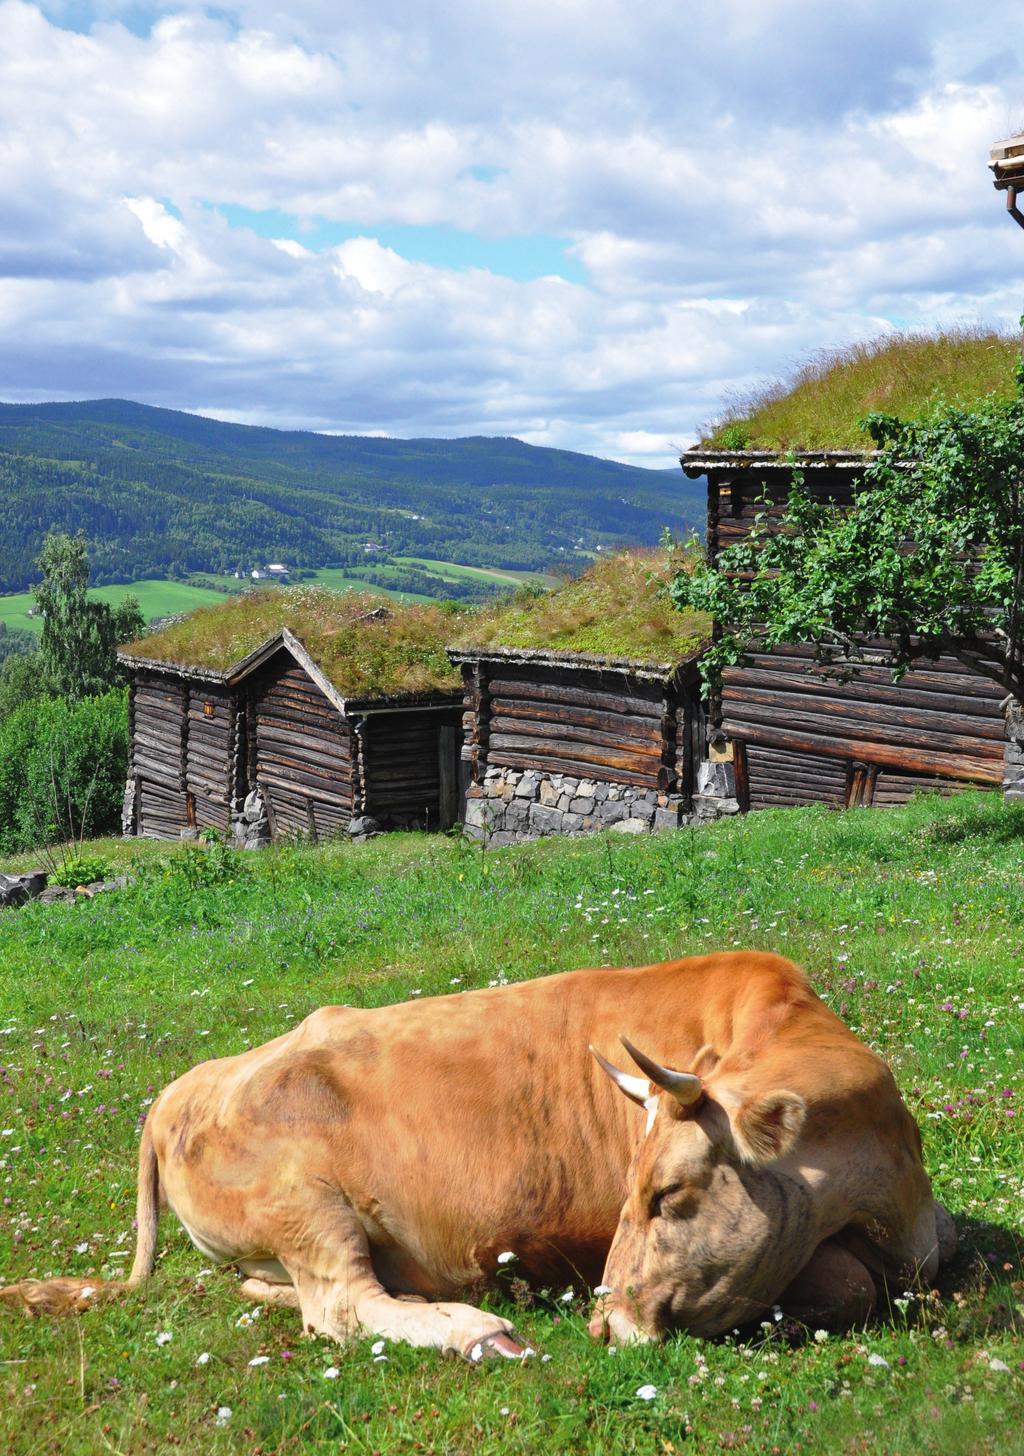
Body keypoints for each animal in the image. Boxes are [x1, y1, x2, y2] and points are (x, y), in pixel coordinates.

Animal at [4, 949, 955, 1356]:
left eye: (664, 1194)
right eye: (638, 1190)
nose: (603, 1322)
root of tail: (177, 1092)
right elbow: (845, 1282)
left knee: (288, 1294)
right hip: (305, 1204)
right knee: (343, 1308)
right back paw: (479, 1332)